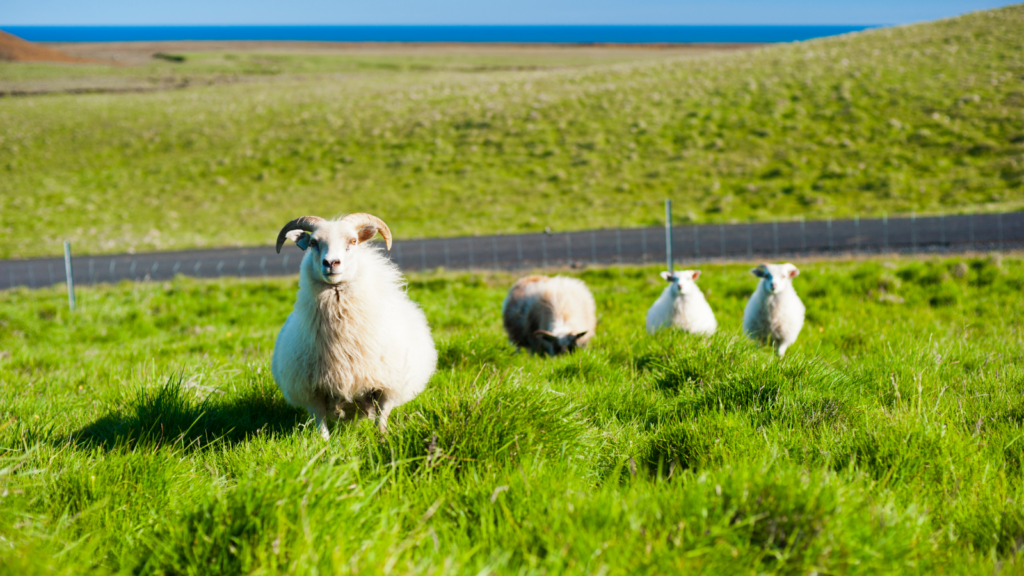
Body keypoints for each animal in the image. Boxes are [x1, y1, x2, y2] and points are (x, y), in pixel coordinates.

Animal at [270, 213, 434, 436]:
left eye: (353, 241)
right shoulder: (311, 391)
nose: (331, 263)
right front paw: (324, 444)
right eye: (313, 243)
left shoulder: (388, 386)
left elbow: (381, 420)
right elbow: (321, 426)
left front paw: (381, 439)